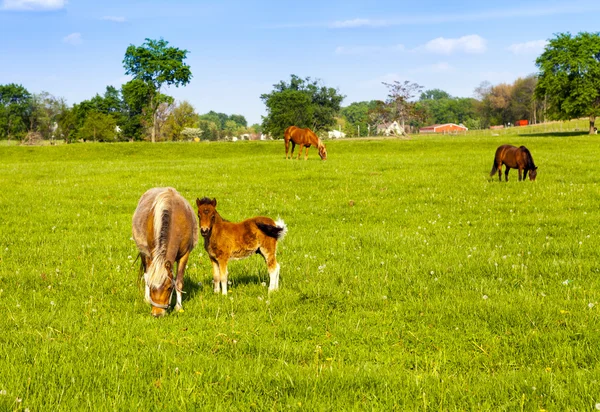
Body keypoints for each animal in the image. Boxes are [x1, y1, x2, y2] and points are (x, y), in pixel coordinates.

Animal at [132, 188, 198, 318]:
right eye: (152, 287)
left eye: (168, 288)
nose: (157, 314)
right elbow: (148, 276)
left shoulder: (185, 255)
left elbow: (179, 281)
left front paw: (178, 307)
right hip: (143, 252)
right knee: (146, 273)